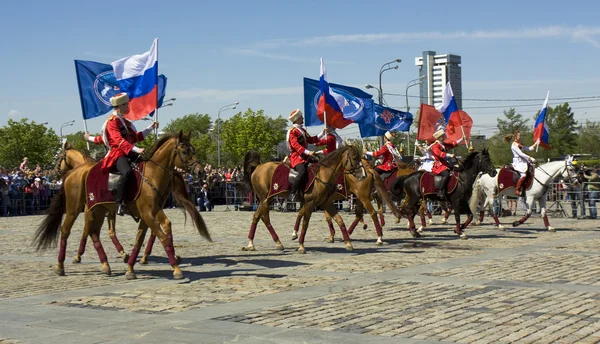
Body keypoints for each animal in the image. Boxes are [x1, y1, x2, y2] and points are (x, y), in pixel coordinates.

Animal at [56, 141, 189, 264]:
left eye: (59, 156)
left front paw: (78, 255)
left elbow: (87, 231)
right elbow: (108, 231)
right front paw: (123, 253)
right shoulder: (108, 211)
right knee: (157, 228)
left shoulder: (91, 211)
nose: (56, 171)